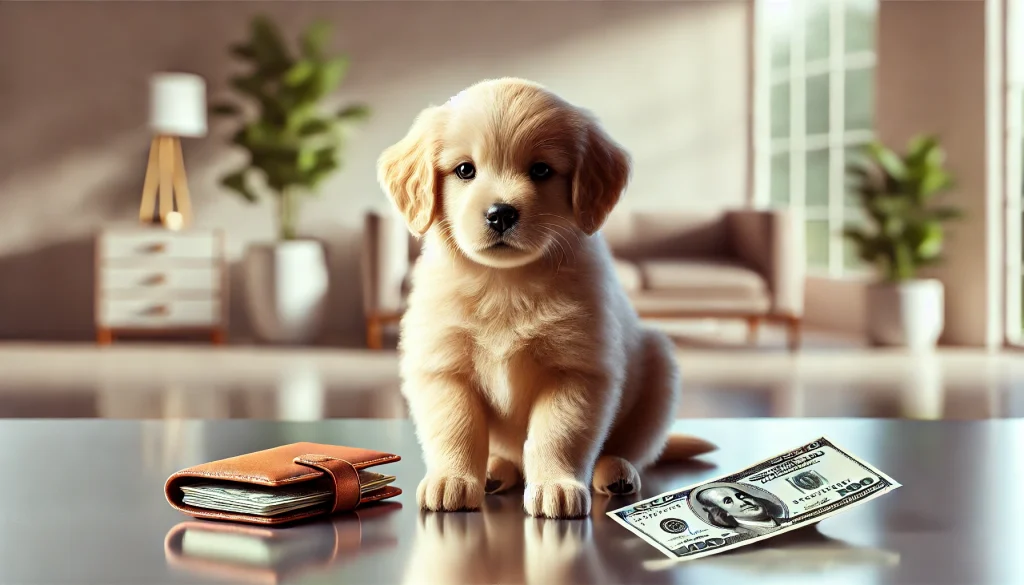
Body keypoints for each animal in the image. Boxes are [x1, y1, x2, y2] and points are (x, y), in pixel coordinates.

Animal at [376, 78, 712, 522]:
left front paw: (556, 485)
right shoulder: (443, 368)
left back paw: (617, 473)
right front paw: (452, 479)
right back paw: (494, 471)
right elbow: (456, 428)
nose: (500, 213)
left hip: (659, 370)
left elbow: (558, 434)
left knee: (632, 448)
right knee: (507, 456)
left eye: (541, 170)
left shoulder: (576, 371)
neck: (504, 284)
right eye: (465, 169)